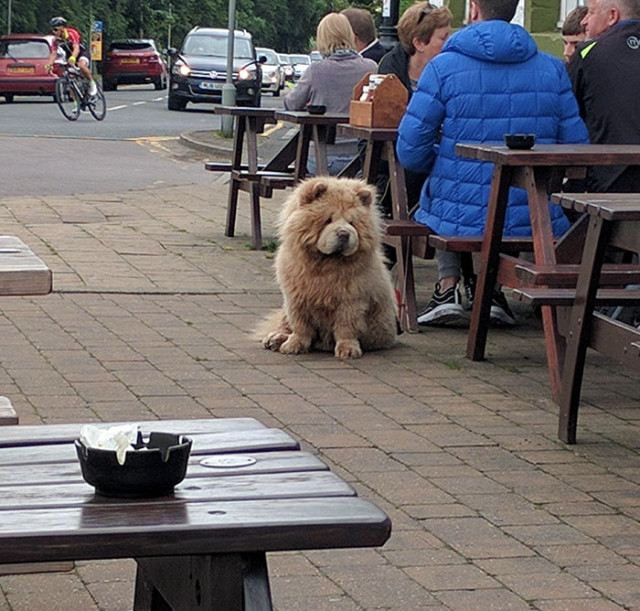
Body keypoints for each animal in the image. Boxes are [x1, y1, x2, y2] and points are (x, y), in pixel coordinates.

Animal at [258, 176, 398, 358]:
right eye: (328, 220)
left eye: (352, 223)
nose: (344, 233)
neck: (325, 264)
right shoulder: (296, 298)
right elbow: (300, 325)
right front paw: (294, 345)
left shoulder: (351, 299)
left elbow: (346, 326)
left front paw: (348, 349)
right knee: (285, 324)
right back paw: (275, 339)